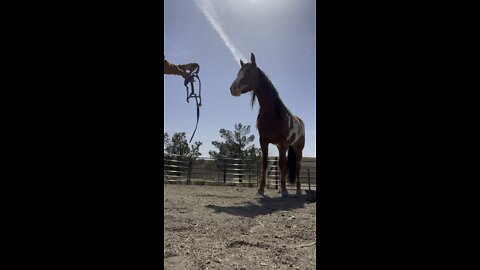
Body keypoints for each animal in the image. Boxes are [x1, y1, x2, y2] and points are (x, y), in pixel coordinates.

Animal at [231, 52, 306, 197]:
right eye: (238, 73)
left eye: (249, 72)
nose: (233, 89)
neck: (272, 114)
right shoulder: (264, 141)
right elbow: (265, 163)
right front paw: (261, 189)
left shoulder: (282, 143)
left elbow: (282, 164)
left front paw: (284, 190)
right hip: (283, 147)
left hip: (297, 148)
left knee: (298, 166)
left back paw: (298, 190)